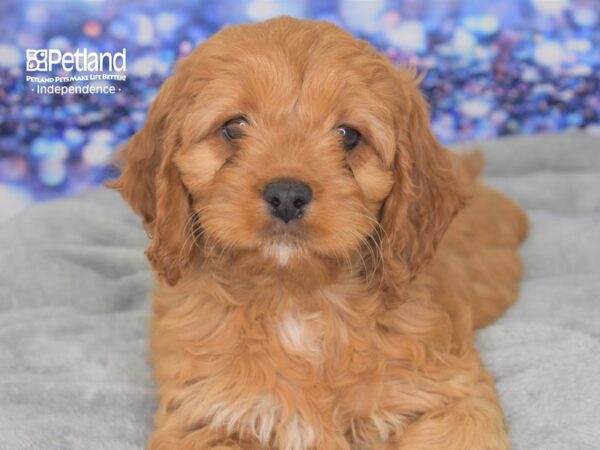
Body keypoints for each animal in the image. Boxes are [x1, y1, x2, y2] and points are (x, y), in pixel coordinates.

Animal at [109, 15, 528, 448]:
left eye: (348, 135)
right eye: (234, 127)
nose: (287, 195)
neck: (296, 300)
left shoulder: (454, 395)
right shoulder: (200, 412)